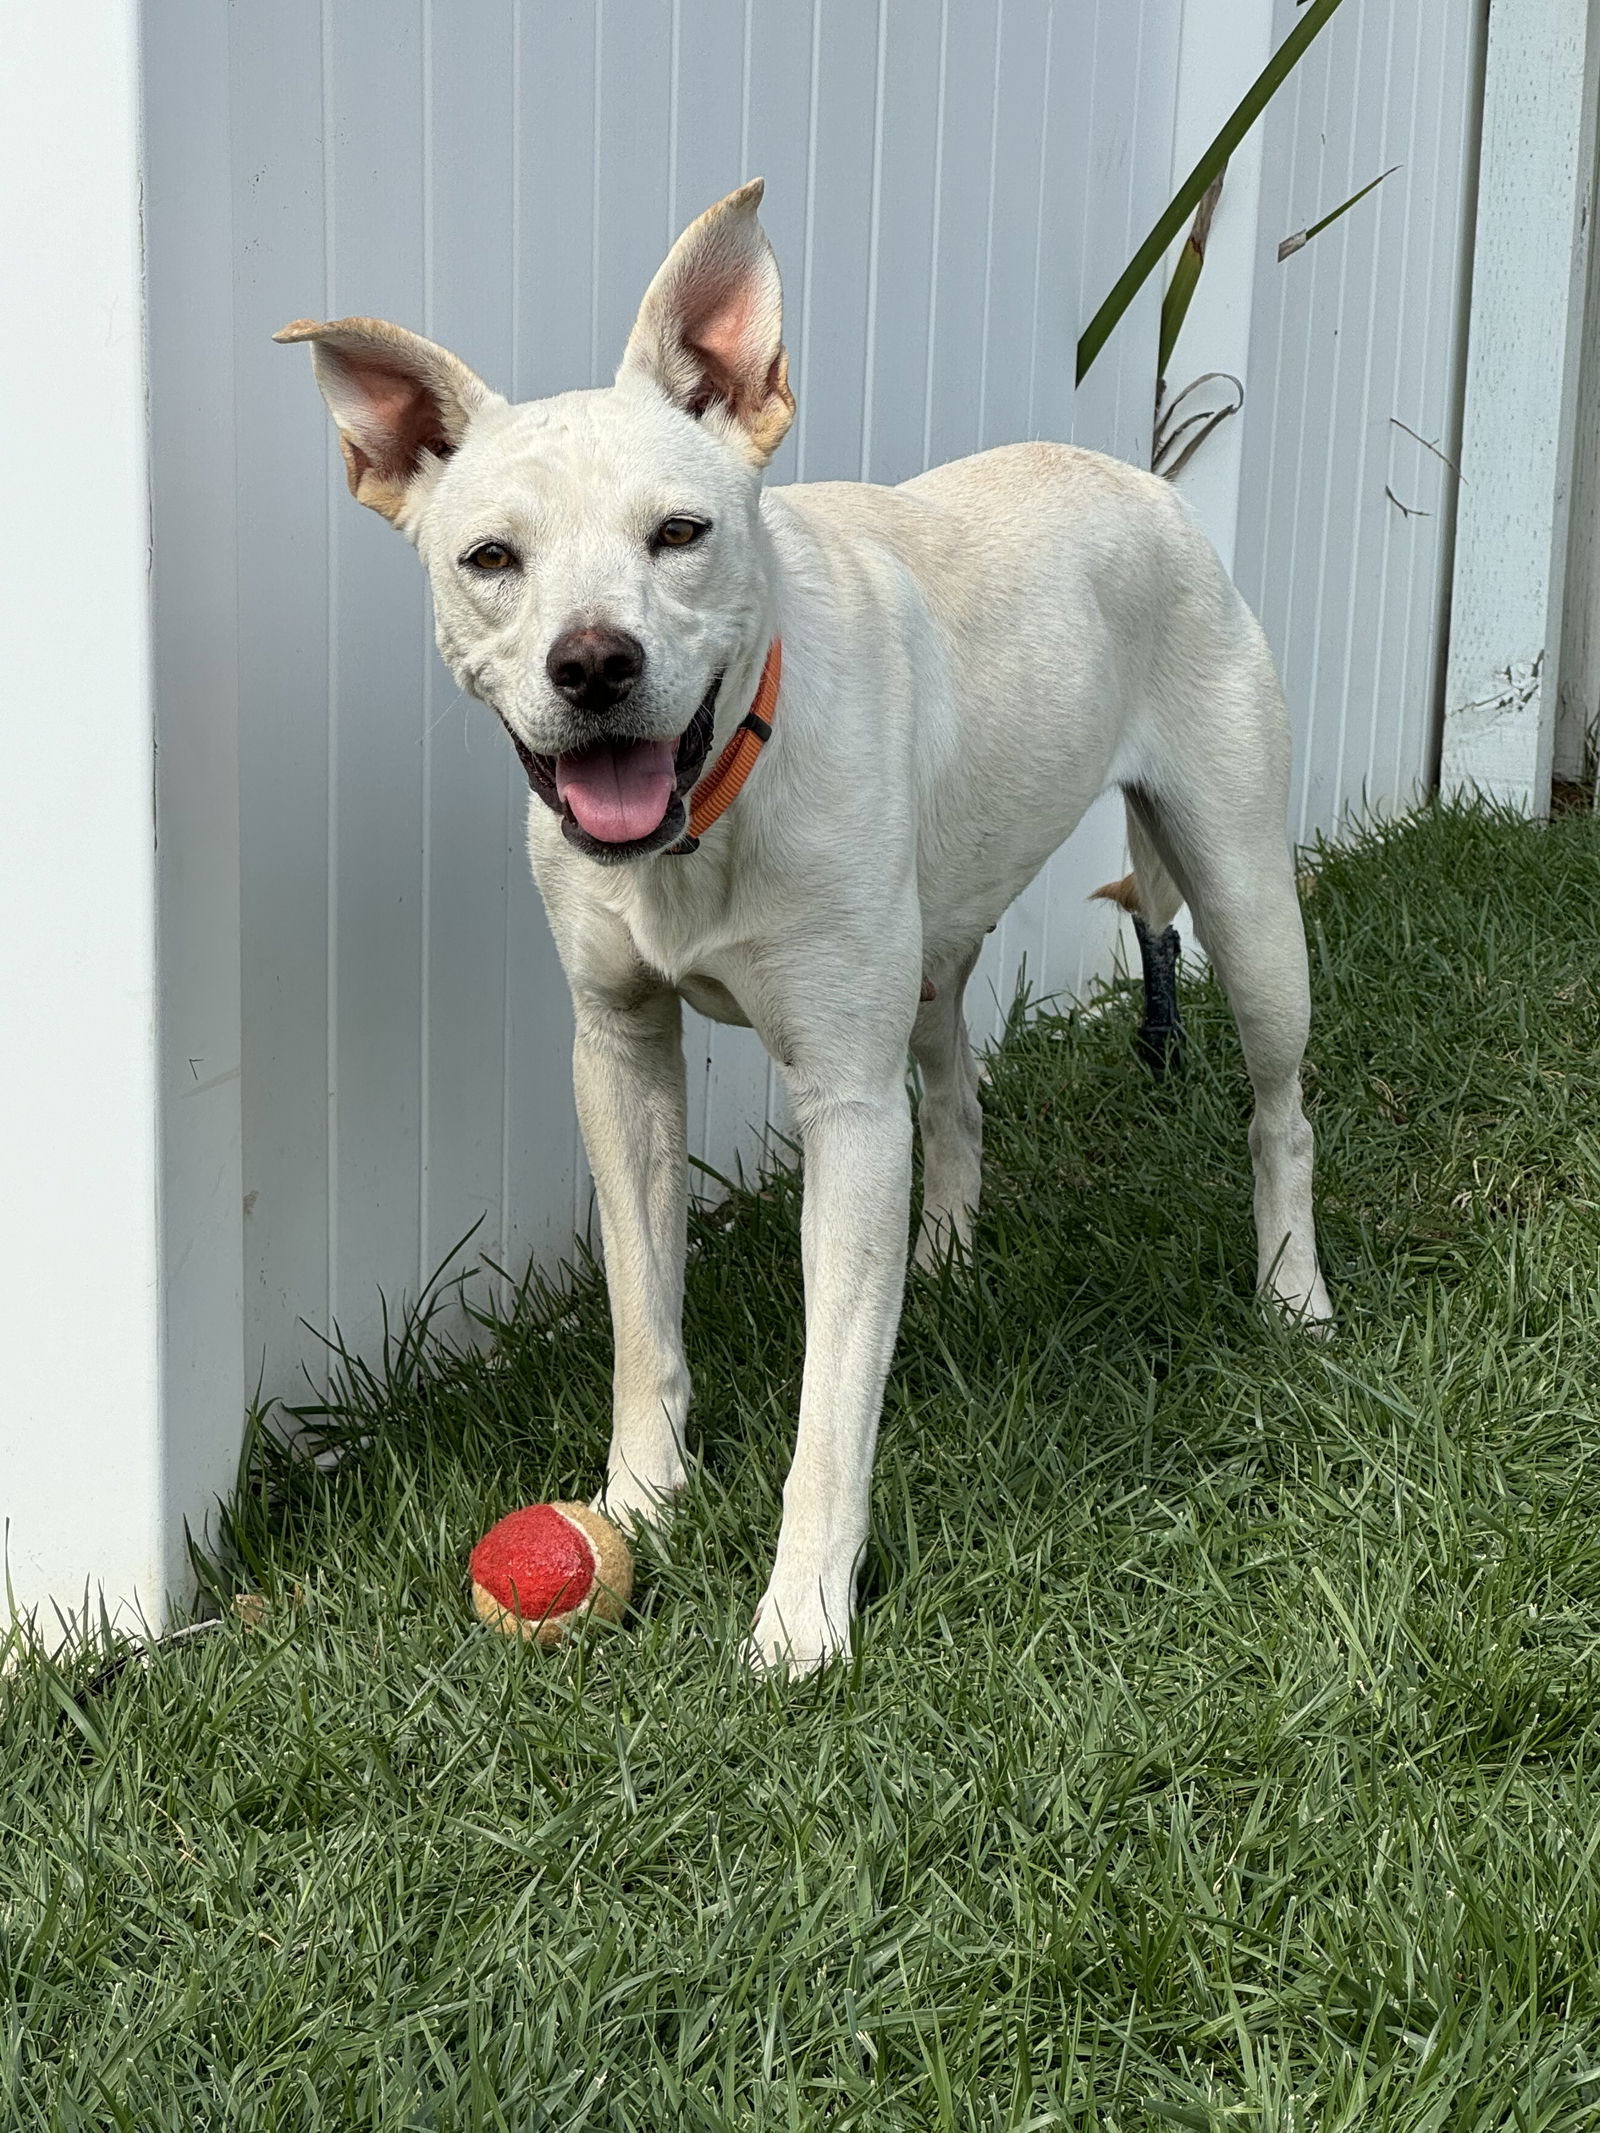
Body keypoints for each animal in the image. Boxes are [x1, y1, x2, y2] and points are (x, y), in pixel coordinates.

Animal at [281, 183, 1331, 1672]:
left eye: (681, 533)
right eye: (491, 559)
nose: (592, 664)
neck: (712, 812)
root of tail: (1146, 480)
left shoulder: (843, 1101)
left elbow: (836, 1398)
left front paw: (801, 1615)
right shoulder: (620, 1057)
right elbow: (643, 1316)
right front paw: (641, 1500)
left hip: (1244, 905)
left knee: (1277, 1110)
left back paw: (1294, 1298)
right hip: (937, 956)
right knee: (956, 1091)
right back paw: (942, 1260)